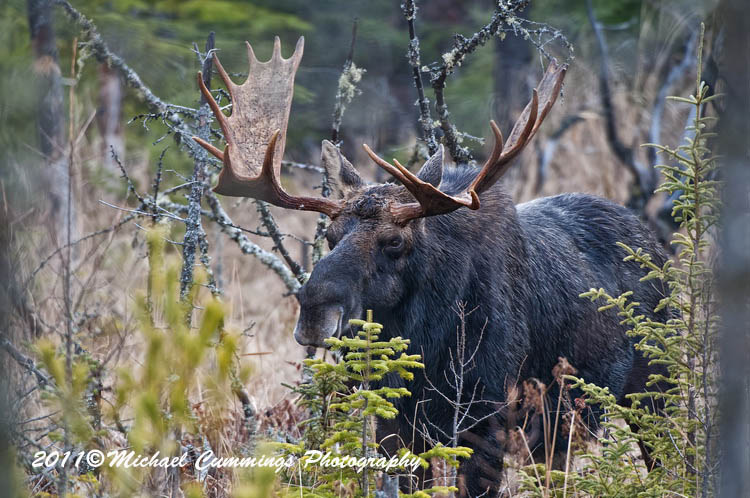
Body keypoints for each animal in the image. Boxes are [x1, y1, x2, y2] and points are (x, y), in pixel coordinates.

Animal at [193, 37, 669, 496]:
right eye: (330, 235)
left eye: (394, 242)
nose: (314, 312)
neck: (428, 339)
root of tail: (655, 244)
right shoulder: (396, 418)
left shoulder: (487, 414)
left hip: (650, 388)